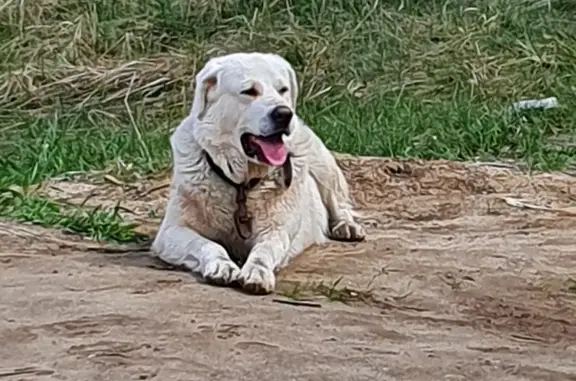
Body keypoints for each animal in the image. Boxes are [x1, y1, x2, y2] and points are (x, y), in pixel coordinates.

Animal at [151, 51, 362, 294]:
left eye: (283, 89)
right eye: (249, 91)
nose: (284, 113)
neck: (241, 184)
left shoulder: (277, 231)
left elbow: (264, 251)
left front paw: (257, 272)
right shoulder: (172, 231)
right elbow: (207, 244)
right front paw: (221, 266)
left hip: (323, 165)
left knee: (339, 203)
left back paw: (346, 226)